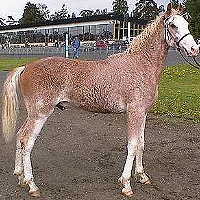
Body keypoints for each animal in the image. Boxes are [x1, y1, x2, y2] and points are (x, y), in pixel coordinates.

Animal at [1, 2, 198, 198]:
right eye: (173, 25)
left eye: (187, 24)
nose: (194, 49)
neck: (140, 64)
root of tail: (26, 66)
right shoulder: (134, 113)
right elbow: (132, 145)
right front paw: (126, 184)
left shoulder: (143, 114)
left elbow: (141, 143)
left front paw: (142, 176)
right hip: (40, 114)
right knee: (27, 142)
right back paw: (31, 184)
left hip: (33, 115)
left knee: (20, 136)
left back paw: (20, 177)